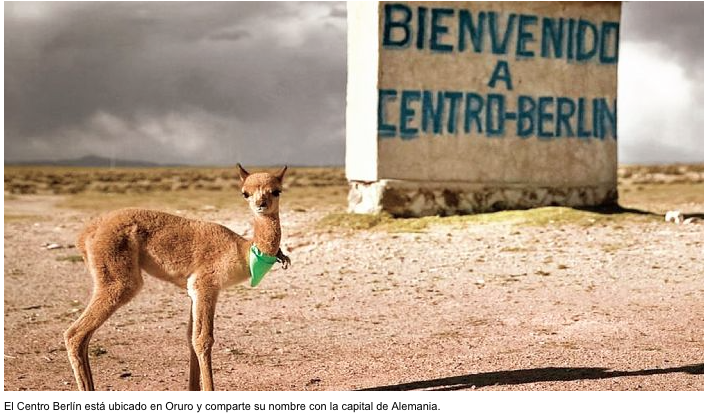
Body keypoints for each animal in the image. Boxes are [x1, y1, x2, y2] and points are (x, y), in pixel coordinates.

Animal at [64, 164, 290, 391]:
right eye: (245, 193)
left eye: (276, 191)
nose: (261, 205)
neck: (243, 251)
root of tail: (86, 234)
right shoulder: (205, 285)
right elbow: (203, 339)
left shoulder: (194, 290)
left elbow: (190, 338)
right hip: (119, 279)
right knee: (75, 334)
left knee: (83, 336)